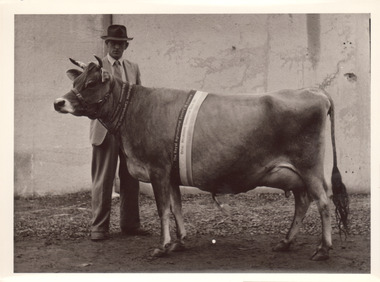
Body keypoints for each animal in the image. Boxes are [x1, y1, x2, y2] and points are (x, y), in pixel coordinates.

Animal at [54, 56, 350, 262]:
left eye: (91, 83)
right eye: (74, 83)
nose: (59, 102)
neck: (135, 110)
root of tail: (314, 91)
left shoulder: (158, 169)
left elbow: (163, 209)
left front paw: (162, 247)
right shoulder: (171, 173)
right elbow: (176, 207)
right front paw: (179, 242)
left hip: (310, 167)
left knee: (323, 202)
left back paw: (323, 250)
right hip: (295, 174)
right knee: (303, 202)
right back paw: (285, 242)